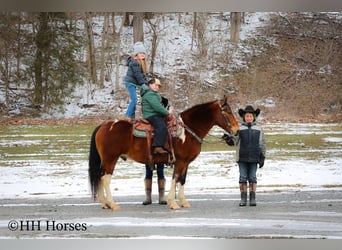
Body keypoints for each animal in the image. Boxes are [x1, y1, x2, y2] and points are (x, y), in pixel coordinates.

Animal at [89, 94, 239, 210]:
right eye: (228, 112)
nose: (236, 130)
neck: (187, 131)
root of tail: (104, 125)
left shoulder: (186, 163)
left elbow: (182, 180)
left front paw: (183, 201)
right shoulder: (180, 161)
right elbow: (175, 178)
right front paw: (173, 203)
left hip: (106, 160)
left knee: (99, 176)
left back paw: (105, 203)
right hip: (110, 159)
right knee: (105, 178)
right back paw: (112, 204)